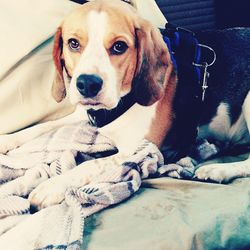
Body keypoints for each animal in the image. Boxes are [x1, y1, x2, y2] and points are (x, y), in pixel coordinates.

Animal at [0, 0, 249, 208]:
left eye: (119, 46)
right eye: (73, 43)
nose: (87, 84)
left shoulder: (141, 149)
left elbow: (90, 164)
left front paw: (52, 186)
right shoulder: (85, 113)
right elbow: (42, 126)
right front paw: (7, 140)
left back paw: (218, 169)